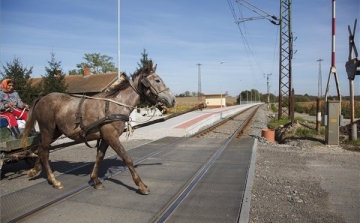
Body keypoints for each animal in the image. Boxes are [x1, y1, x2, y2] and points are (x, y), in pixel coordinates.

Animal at [21, 61, 176, 195]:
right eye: (157, 80)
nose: (173, 100)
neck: (116, 104)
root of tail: (42, 98)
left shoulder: (106, 138)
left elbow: (99, 157)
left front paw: (95, 180)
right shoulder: (111, 137)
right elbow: (127, 158)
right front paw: (141, 185)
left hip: (55, 132)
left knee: (41, 148)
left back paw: (35, 169)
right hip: (47, 129)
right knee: (45, 152)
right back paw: (54, 181)